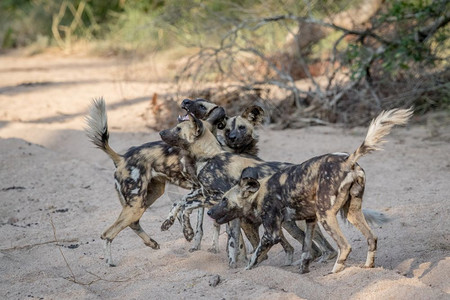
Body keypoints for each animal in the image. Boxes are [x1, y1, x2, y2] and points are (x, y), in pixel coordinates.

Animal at [84, 97, 225, 266]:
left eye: (202, 106)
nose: (185, 101)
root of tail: (122, 158)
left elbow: (197, 218)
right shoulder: (197, 189)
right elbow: (181, 206)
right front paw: (185, 231)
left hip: (148, 197)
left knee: (132, 223)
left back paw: (151, 243)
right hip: (136, 205)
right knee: (107, 233)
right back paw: (110, 262)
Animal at [207, 108, 412, 274]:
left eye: (224, 199)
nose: (209, 211)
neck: (259, 193)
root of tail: (348, 160)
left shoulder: (271, 234)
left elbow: (255, 256)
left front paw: (246, 271)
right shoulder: (310, 221)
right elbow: (307, 250)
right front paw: (303, 270)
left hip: (326, 216)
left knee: (345, 246)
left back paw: (335, 271)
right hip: (351, 212)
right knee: (372, 238)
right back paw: (368, 267)